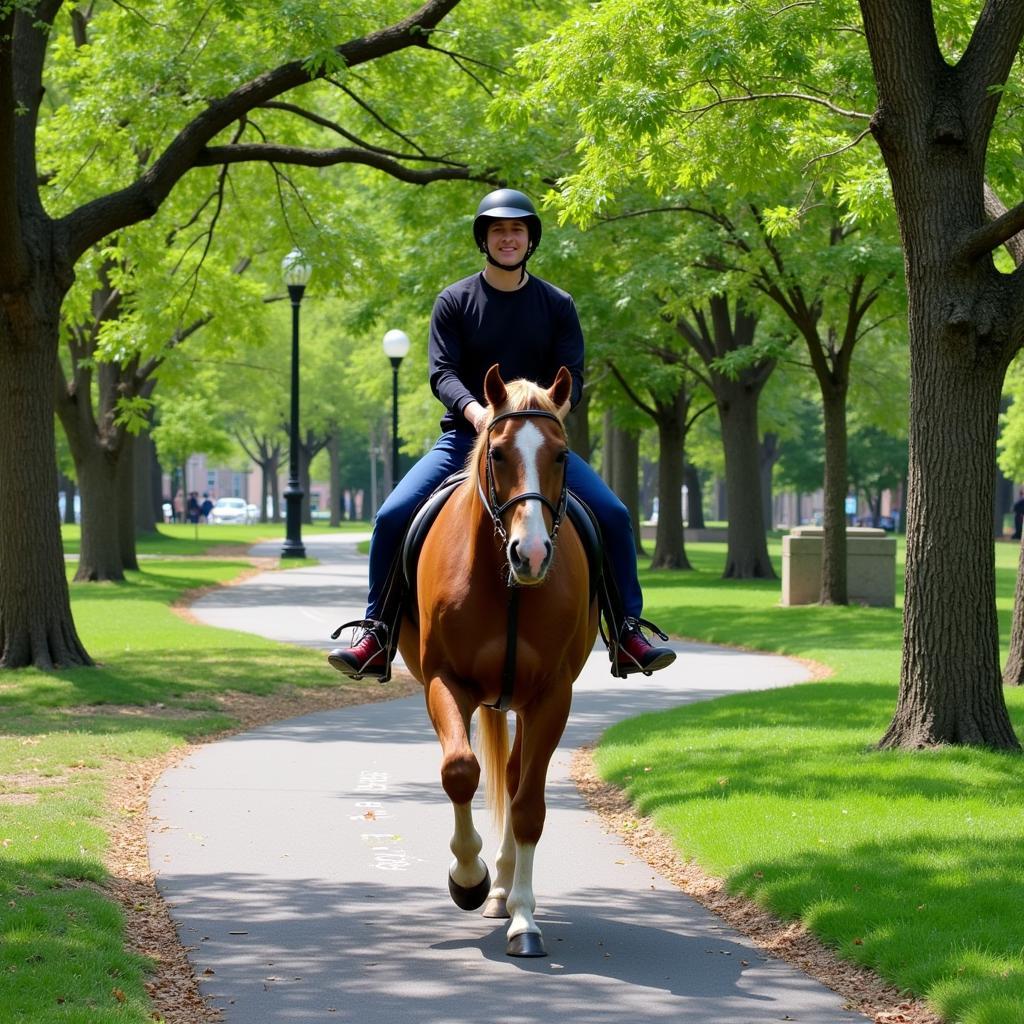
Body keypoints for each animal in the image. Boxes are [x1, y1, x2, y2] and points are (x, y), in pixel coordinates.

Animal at [395, 364, 598, 954]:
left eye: (562, 455)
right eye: (500, 452)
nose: (531, 554)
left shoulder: (552, 696)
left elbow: (528, 807)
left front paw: (523, 917)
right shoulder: (445, 682)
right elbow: (460, 771)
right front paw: (468, 878)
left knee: (512, 778)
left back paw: (508, 890)